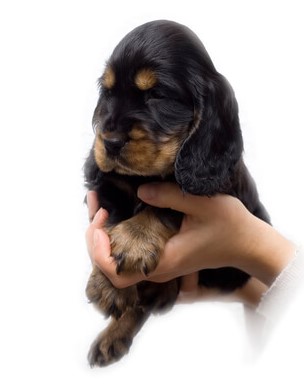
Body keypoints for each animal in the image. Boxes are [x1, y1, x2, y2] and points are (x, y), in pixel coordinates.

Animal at [83, 19, 270, 368]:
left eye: (157, 95)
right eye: (108, 93)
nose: (110, 142)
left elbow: (168, 204)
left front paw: (135, 239)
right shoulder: (109, 188)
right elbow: (112, 215)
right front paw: (109, 284)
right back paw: (112, 337)